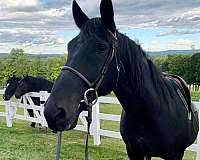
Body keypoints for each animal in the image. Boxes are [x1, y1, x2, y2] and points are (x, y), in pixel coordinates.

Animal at [43, 0, 198, 159]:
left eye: (101, 48)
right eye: (70, 46)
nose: (53, 112)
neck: (150, 113)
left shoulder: (175, 155)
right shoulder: (133, 152)